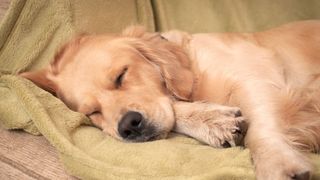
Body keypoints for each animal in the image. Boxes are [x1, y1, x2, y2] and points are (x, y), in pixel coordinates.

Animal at [21, 20, 318, 179]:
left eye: (121, 76)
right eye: (92, 112)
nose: (129, 126)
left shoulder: (257, 76)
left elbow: (260, 128)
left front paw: (276, 163)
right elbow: (176, 108)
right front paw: (211, 120)